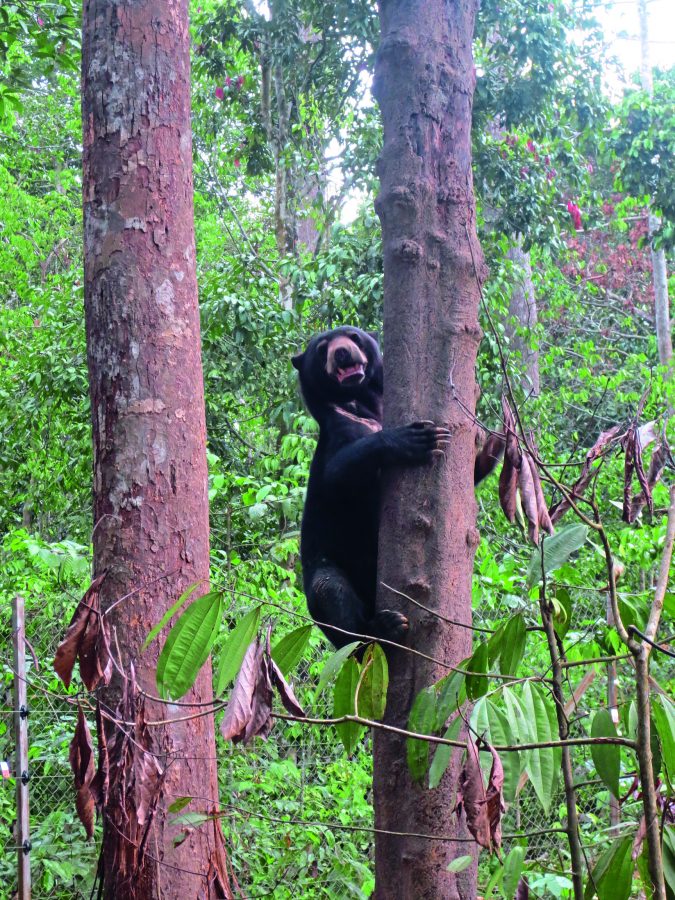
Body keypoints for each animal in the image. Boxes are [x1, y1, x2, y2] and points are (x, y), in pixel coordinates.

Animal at [292, 326, 502, 652]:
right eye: (322, 347)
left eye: (353, 336)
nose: (342, 352)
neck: (361, 404)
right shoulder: (339, 436)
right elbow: (337, 475)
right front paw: (415, 439)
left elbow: (473, 471)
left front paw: (496, 439)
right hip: (326, 576)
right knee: (331, 594)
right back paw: (383, 628)